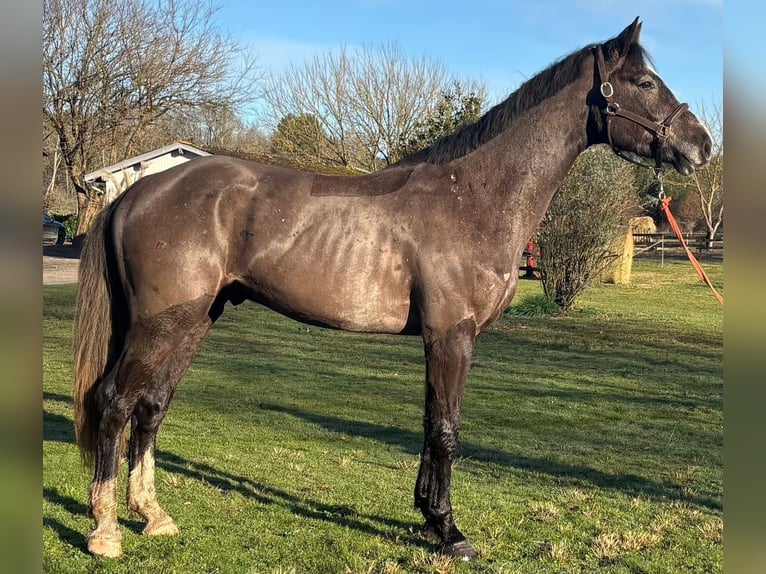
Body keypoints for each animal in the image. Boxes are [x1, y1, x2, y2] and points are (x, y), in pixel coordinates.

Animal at [73, 18, 712, 559]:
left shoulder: (442, 339)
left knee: (152, 406)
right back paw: (106, 531)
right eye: (645, 82)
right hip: (159, 324)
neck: (473, 197)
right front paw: (451, 532)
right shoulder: (451, 335)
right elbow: (447, 431)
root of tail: (137, 192)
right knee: (115, 400)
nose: (701, 145)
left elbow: (432, 426)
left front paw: (429, 517)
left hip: (193, 320)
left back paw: (153, 516)